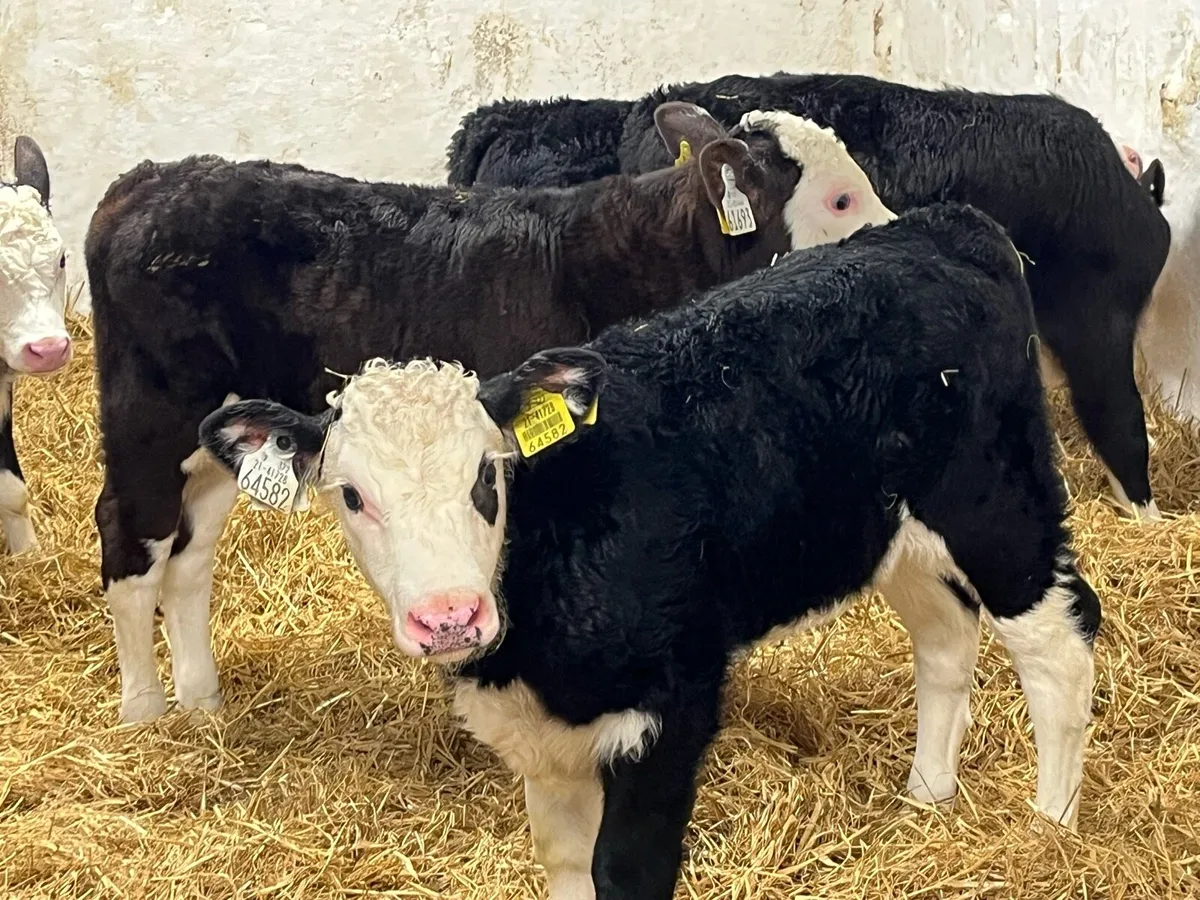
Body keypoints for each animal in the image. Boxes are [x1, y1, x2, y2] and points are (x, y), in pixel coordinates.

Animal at [85, 105, 895, 724]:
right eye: (841, 200)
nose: (901, 234)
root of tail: (146, 180)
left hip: (213, 443)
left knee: (189, 555)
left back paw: (203, 704)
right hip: (148, 418)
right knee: (130, 535)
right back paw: (145, 714)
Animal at [199, 202, 1101, 900]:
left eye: (486, 475)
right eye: (352, 496)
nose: (449, 616)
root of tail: (941, 226)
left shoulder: (674, 706)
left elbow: (626, 872)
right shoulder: (545, 744)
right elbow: (566, 868)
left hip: (996, 504)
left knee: (1057, 644)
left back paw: (1049, 828)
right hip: (889, 530)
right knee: (945, 638)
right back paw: (926, 798)